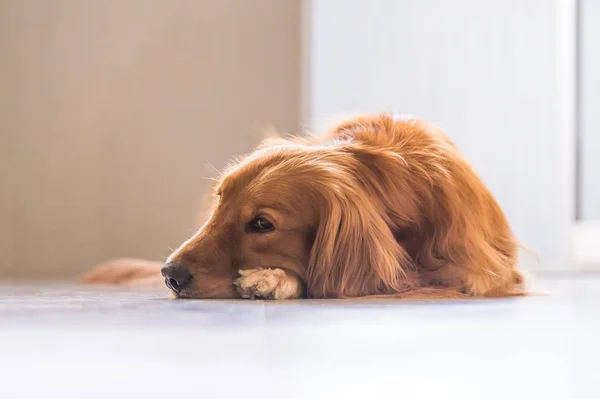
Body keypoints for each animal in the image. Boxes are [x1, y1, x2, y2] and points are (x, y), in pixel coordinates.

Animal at [83, 115, 524, 300]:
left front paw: (270, 278)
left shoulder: (479, 271)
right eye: (220, 202)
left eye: (262, 224)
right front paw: (274, 279)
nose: (170, 275)